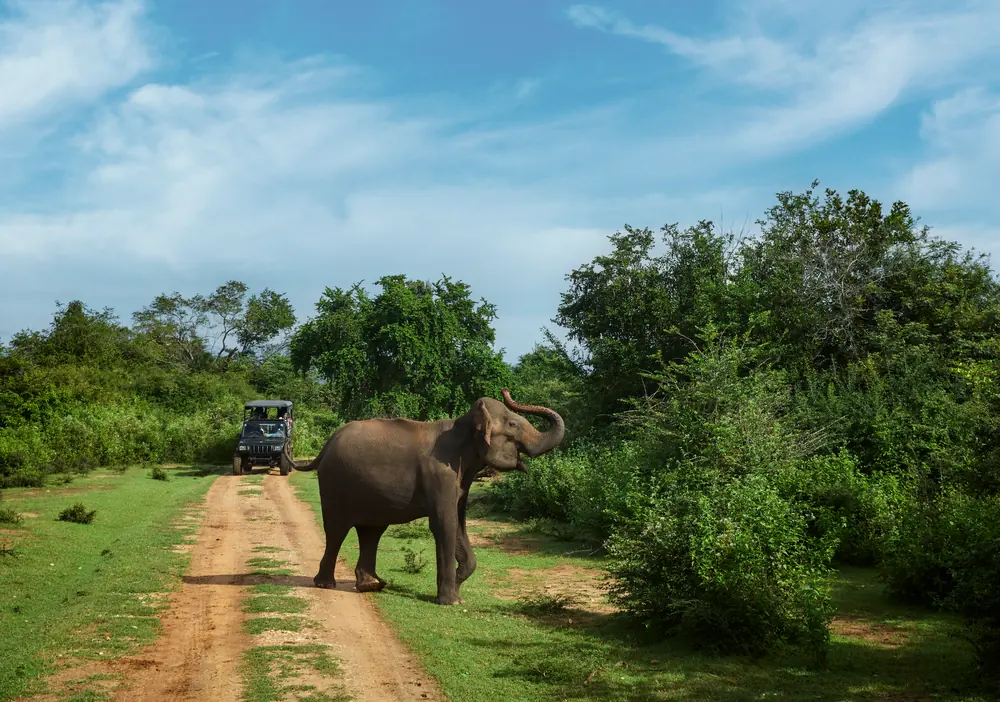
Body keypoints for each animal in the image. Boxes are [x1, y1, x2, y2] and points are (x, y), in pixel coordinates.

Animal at [295, 388, 565, 605]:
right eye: (513, 425)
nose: (505, 390)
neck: (463, 425)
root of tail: (327, 444)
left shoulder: (459, 481)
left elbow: (459, 524)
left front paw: (458, 584)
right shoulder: (439, 473)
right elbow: (444, 524)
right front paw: (450, 601)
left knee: (372, 530)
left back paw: (373, 584)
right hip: (334, 482)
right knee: (337, 529)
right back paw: (325, 584)